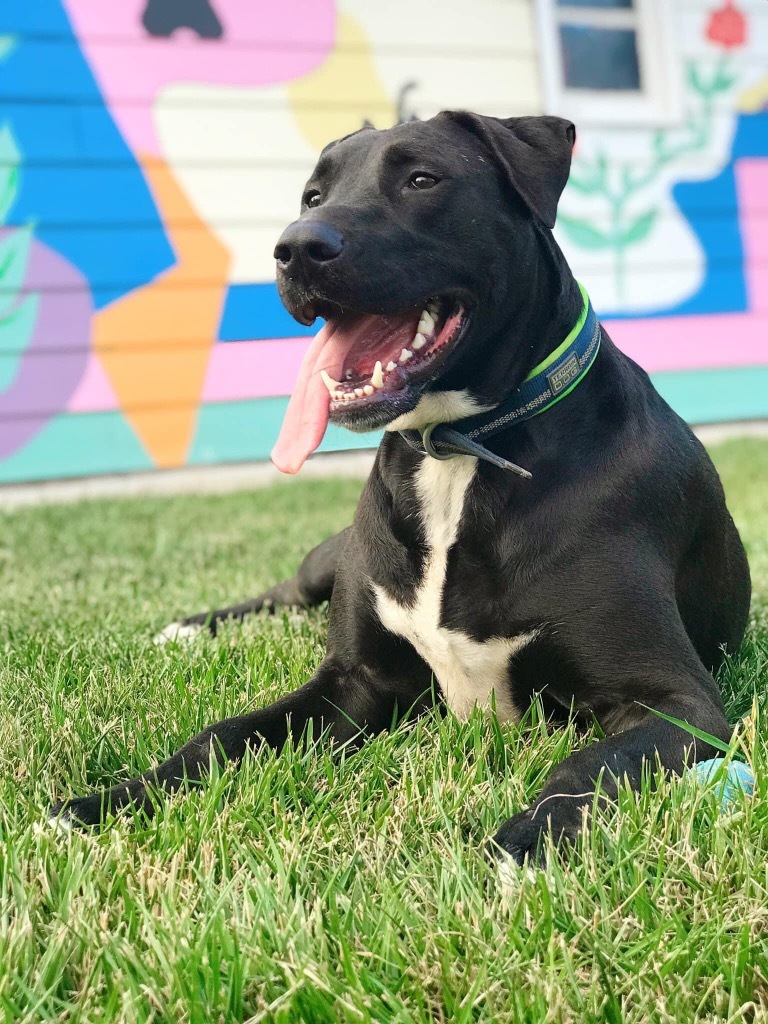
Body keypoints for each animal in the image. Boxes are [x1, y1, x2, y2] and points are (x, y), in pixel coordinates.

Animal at [52, 112, 753, 864]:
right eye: (313, 195)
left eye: (422, 178)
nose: (296, 248)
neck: (454, 452)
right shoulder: (354, 682)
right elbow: (226, 734)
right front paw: (99, 804)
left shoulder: (678, 702)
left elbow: (591, 765)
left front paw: (521, 848)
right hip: (329, 560)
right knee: (284, 592)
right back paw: (188, 627)